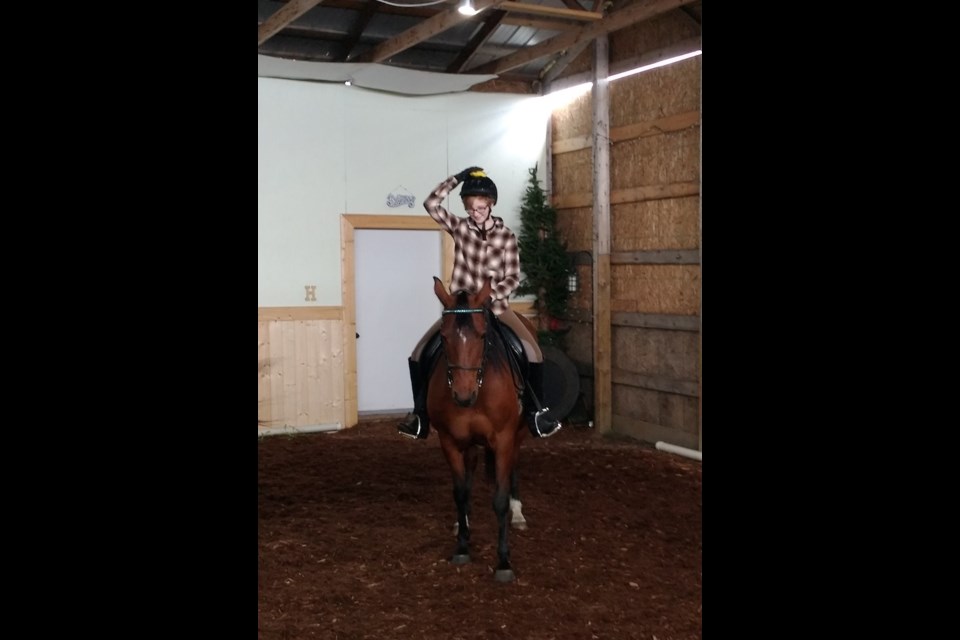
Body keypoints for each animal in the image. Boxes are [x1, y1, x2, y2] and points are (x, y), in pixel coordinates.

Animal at [428, 276, 532, 580]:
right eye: (444, 337)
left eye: (483, 336)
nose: (463, 396)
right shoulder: (449, 441)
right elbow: (460, 492)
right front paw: (462, 545)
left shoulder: (505, 439)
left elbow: (499, 498)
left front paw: (504, 561)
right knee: (471, 470)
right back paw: (462, 521)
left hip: (518, 436)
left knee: (514, 467)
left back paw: (517, 513)